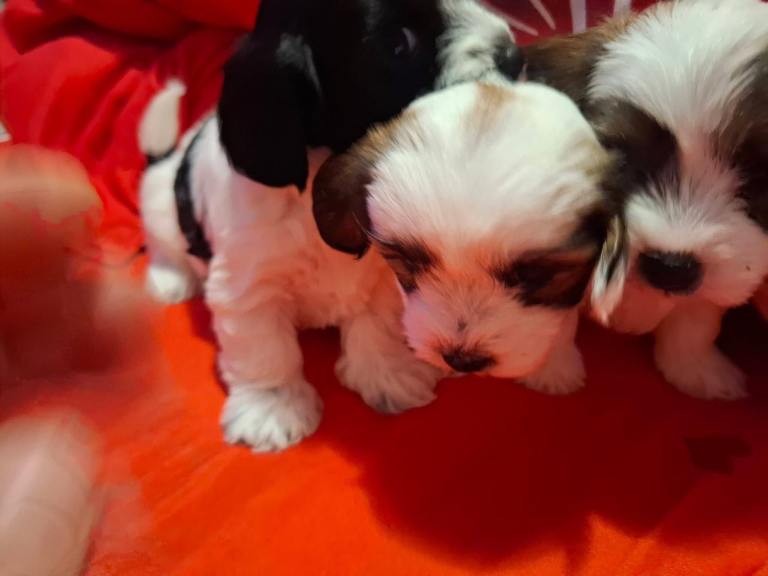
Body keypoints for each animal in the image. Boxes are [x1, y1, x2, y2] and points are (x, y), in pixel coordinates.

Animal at [138, 0, 525, 451]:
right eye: (399, 43)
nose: (515, 56)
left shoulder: (384, 270)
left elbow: (377, 322)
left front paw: (389, 372)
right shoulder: (247, 284)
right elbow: (264, 347)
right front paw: (273, 408)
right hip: (161, 205)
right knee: (162, 240)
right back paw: (170, 279)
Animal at [524, 0, 768, 400]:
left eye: (760, 177)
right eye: (622, 162)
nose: (670, 267)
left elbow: (696, 320)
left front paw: (693, 368)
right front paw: (549, 370)